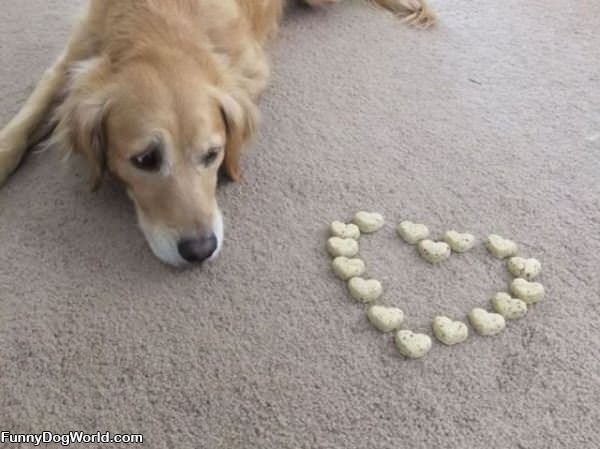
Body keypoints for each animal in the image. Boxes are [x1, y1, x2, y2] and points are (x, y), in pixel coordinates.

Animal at [0, 0, 434, 264]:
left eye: (213, 154)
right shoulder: (70, 61)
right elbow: (19, 129)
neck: (156, 24)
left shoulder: (250, 71)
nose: (200, 250)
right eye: (144, 160)